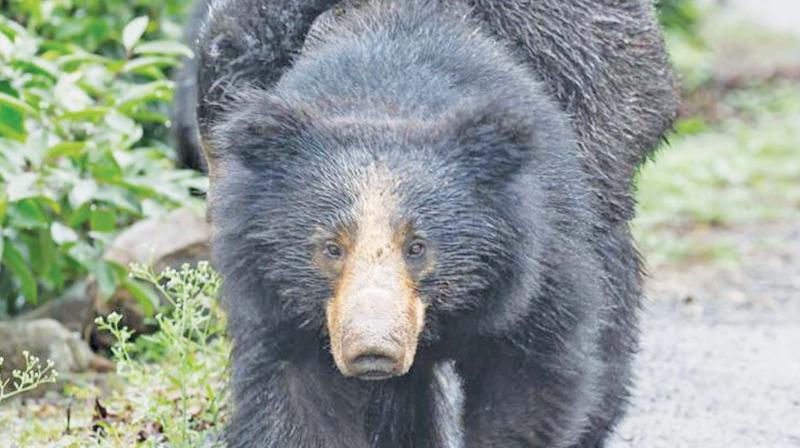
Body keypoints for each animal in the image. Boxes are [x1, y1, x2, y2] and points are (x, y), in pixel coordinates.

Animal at [178, 0, 678, 447]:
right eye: (330, 248)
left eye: (417, 247)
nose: (372, 347)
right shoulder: (272, 286)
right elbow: (293, 397)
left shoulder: (538, 248)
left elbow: (529, 379)